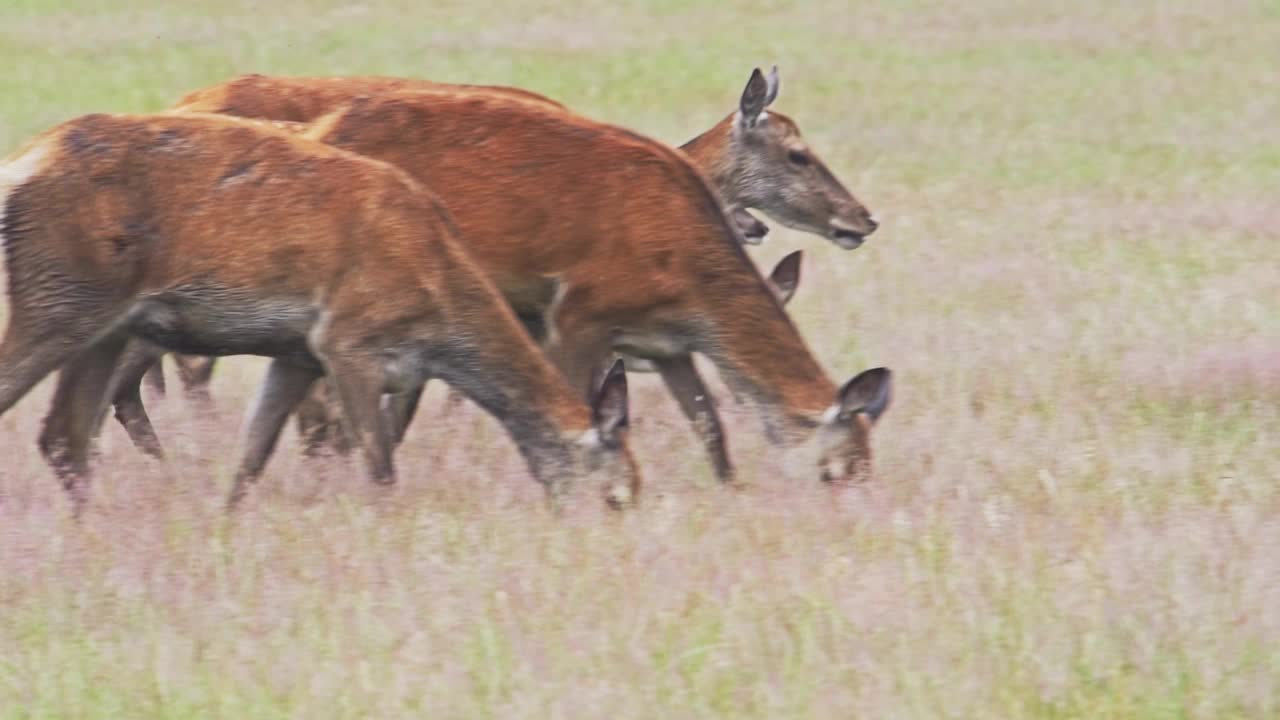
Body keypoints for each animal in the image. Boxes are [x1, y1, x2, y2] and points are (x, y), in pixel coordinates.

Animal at [0, 110, 640, 509]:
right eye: (617, 495)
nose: (607, 533)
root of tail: (19, 165)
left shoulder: (296, 353)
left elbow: (251, 459)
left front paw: (226, 527)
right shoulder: (348, 340)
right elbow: (380, 465)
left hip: (99, 323)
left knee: (63, 438)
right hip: (57, 298)